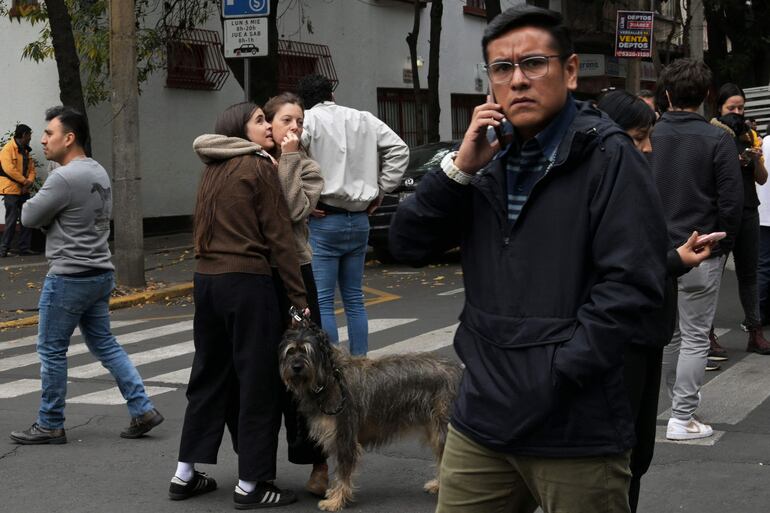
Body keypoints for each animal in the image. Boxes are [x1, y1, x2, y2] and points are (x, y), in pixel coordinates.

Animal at [282, 322, 462, 510]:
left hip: (443, 429)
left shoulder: (345, 438)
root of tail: (458, 370)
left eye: (307, 350)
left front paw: (336, 500)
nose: (296, 367)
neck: (329, 377)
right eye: (290, 351)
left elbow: (343, 474)